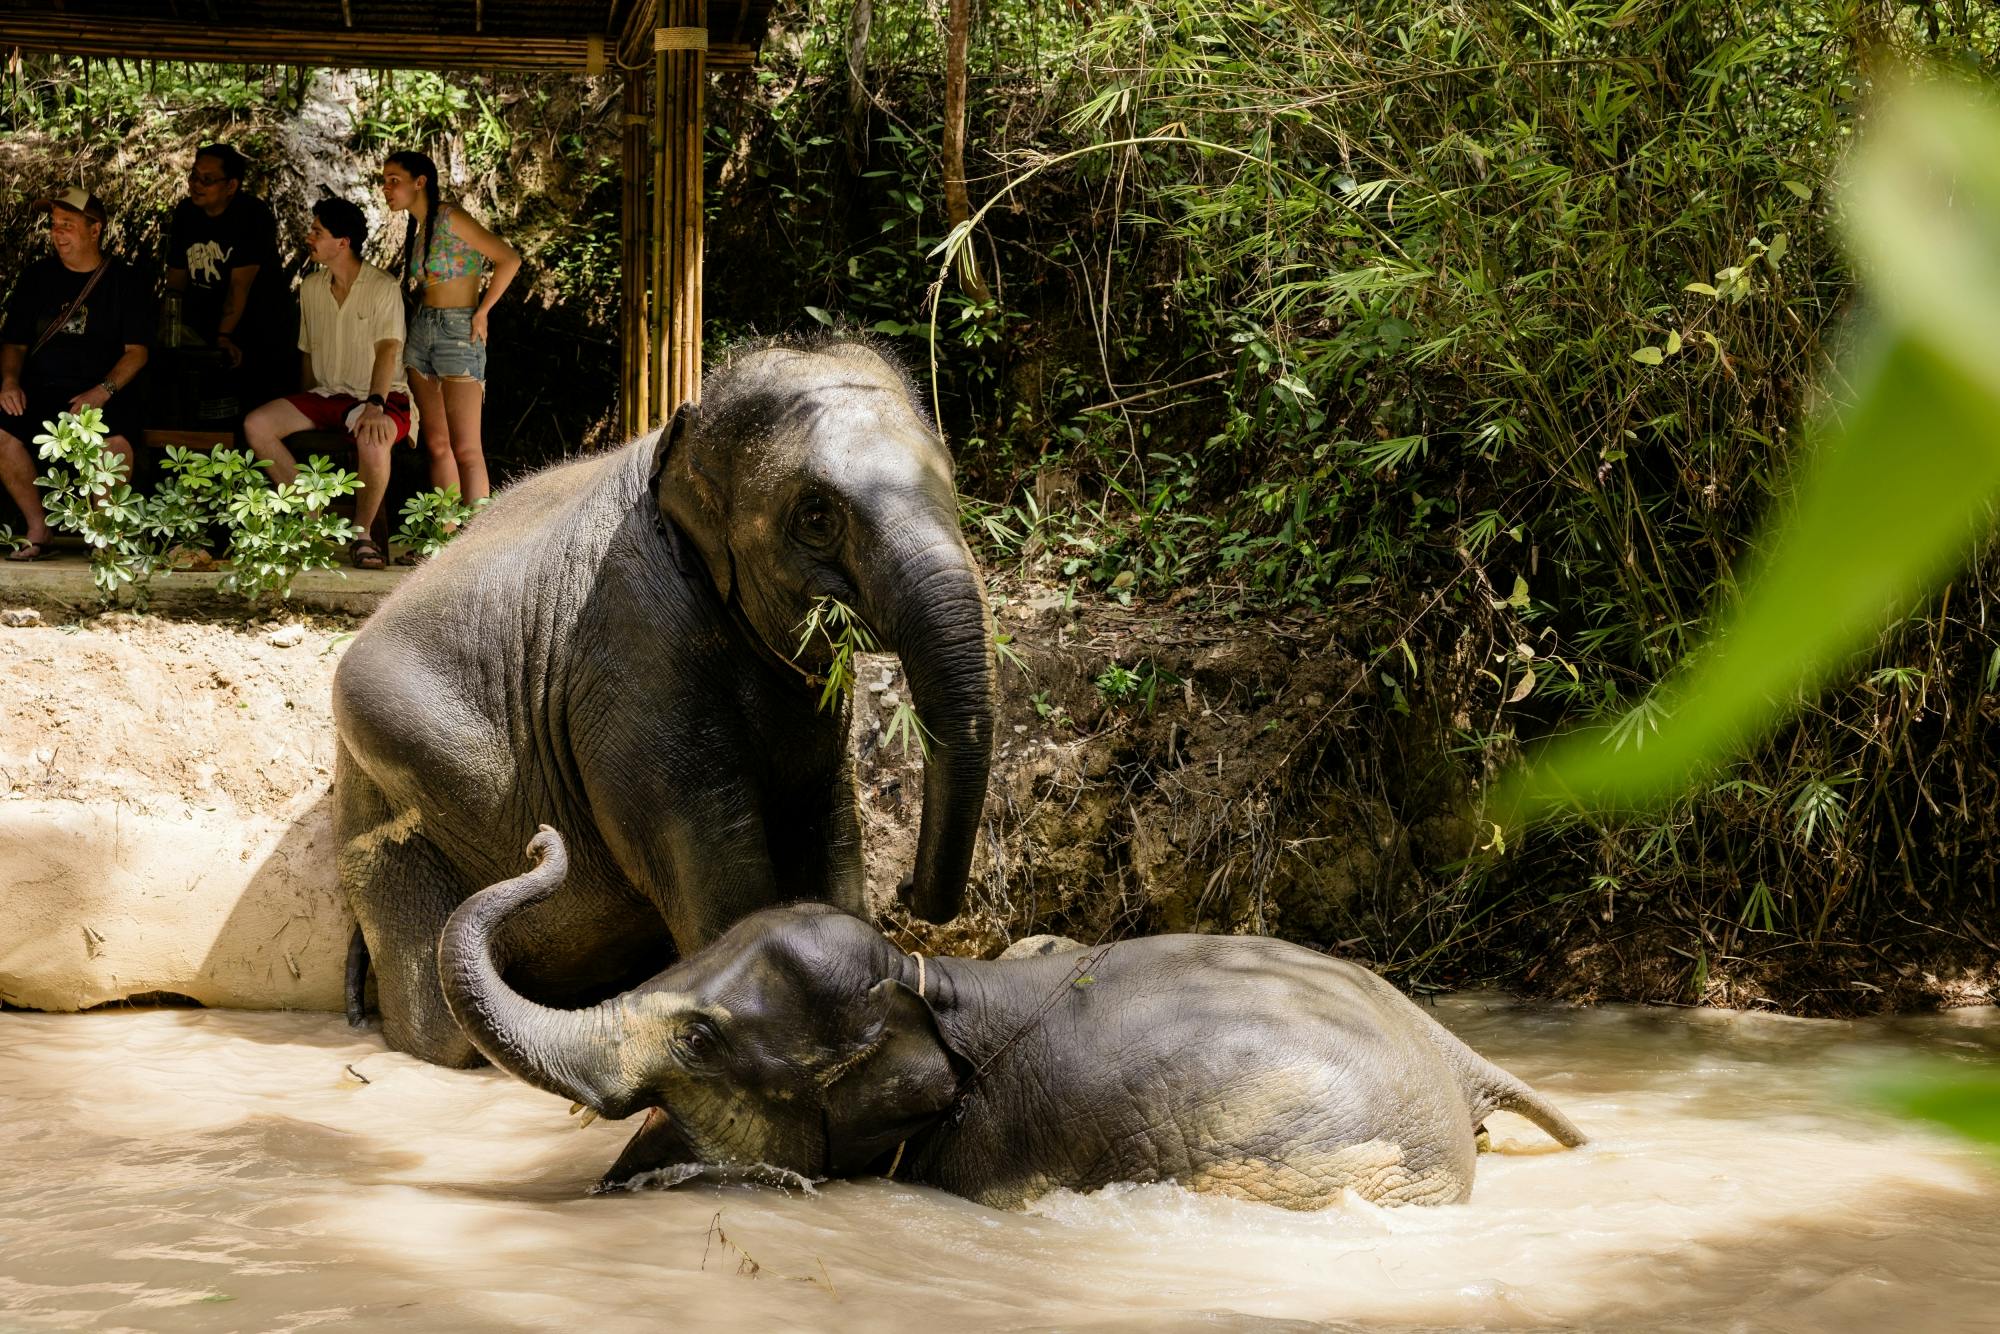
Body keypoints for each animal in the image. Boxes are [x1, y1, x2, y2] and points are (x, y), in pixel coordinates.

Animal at [333, 338, 995, 1068]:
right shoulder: (635, 650)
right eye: (817, 517)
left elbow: (827, 824)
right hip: (391, 814)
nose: (909, 891)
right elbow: (712, 859)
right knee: (439, 1033)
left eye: (954, 486)